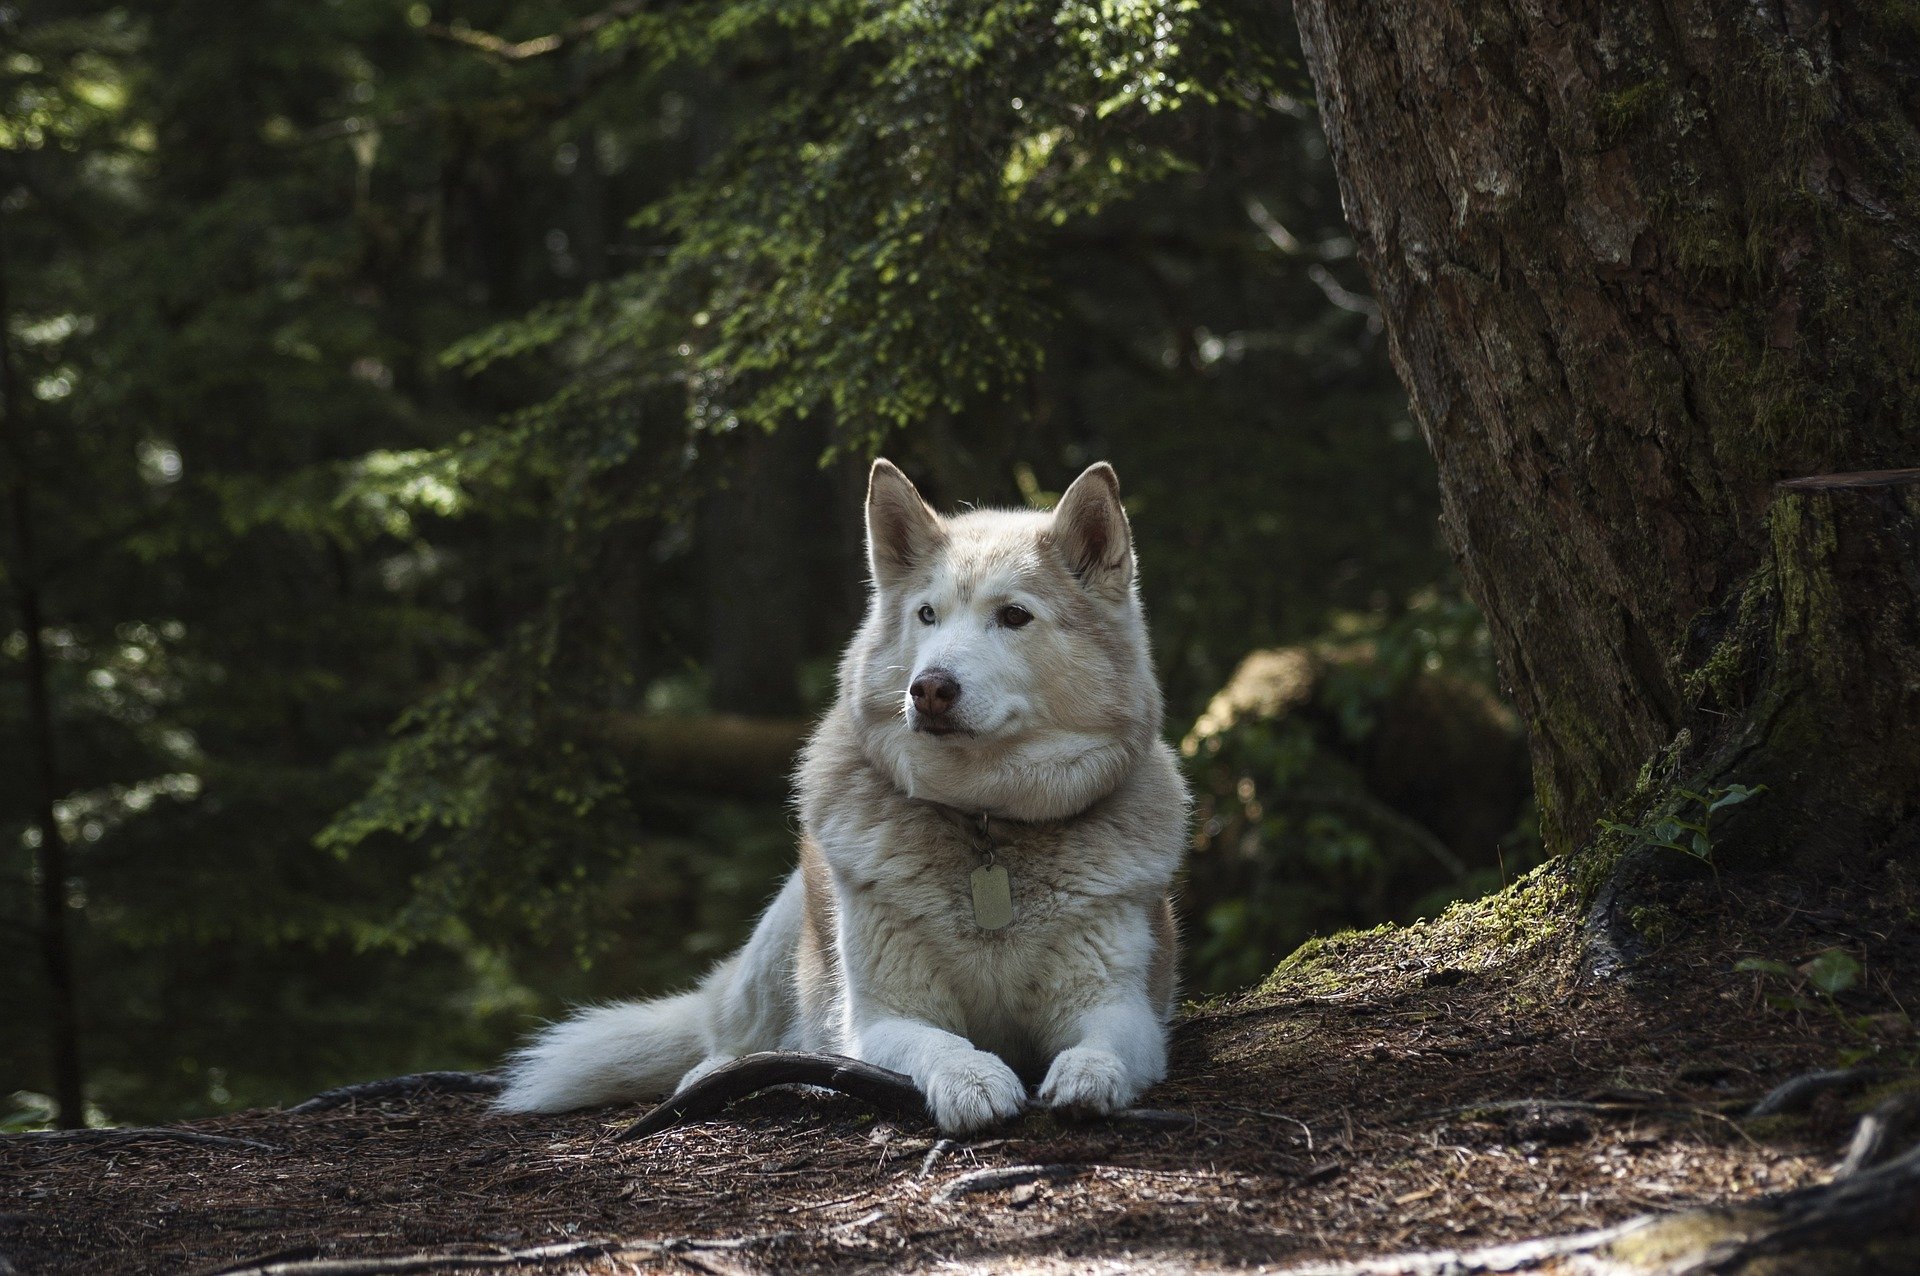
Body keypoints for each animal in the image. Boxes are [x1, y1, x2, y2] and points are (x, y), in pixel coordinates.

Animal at [495, 454, 1182, 1128]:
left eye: (1014, 616)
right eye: (927, 615)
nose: (929, 689)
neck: (985, 823)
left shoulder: (1124, 1008)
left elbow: (1104, 1043)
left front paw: (1089, 1075)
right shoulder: (880, 1018)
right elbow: (939, 1043)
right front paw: (972, 1080)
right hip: (783, 933)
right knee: (735, 1041)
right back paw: (734, 1073)